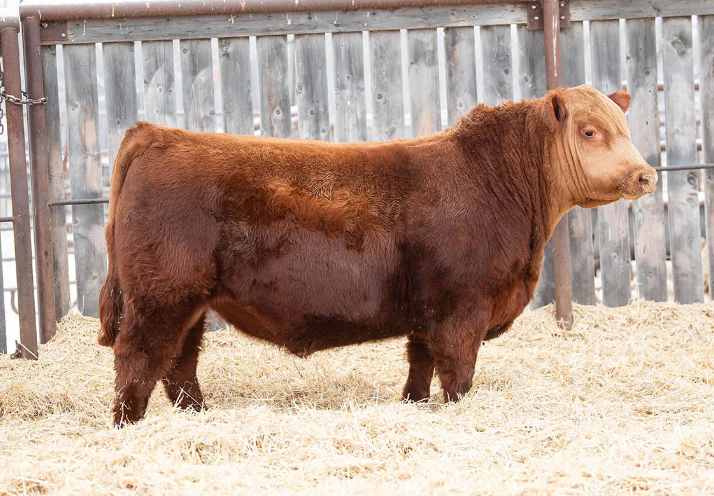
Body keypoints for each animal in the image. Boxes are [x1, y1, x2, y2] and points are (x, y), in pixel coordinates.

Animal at [98, 85, 657, 426]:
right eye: (590, 130)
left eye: (626, 127)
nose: (646, 174)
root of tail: (155, 133)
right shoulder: (462, 307)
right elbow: (458, 371)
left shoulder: (428, 312)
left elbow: (420, 366)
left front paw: (414, 405)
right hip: (162, 295)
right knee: (139, 357)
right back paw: (130, 424)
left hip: (190, 301)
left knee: (180, 363)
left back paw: (198, 417)